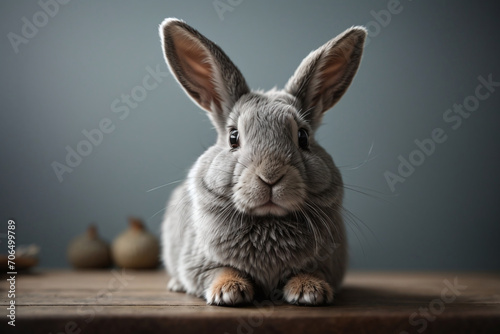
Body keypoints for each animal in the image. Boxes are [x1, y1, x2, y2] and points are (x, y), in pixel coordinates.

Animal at [158, 17, 366, 306]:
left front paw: (309, 291)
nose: (270, 176)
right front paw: (228, 291)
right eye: (233, 137)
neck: (268, 220)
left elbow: (310, 271)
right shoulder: (199, 262)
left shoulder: (327, 263)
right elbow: (220, 270)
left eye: (303, 136)